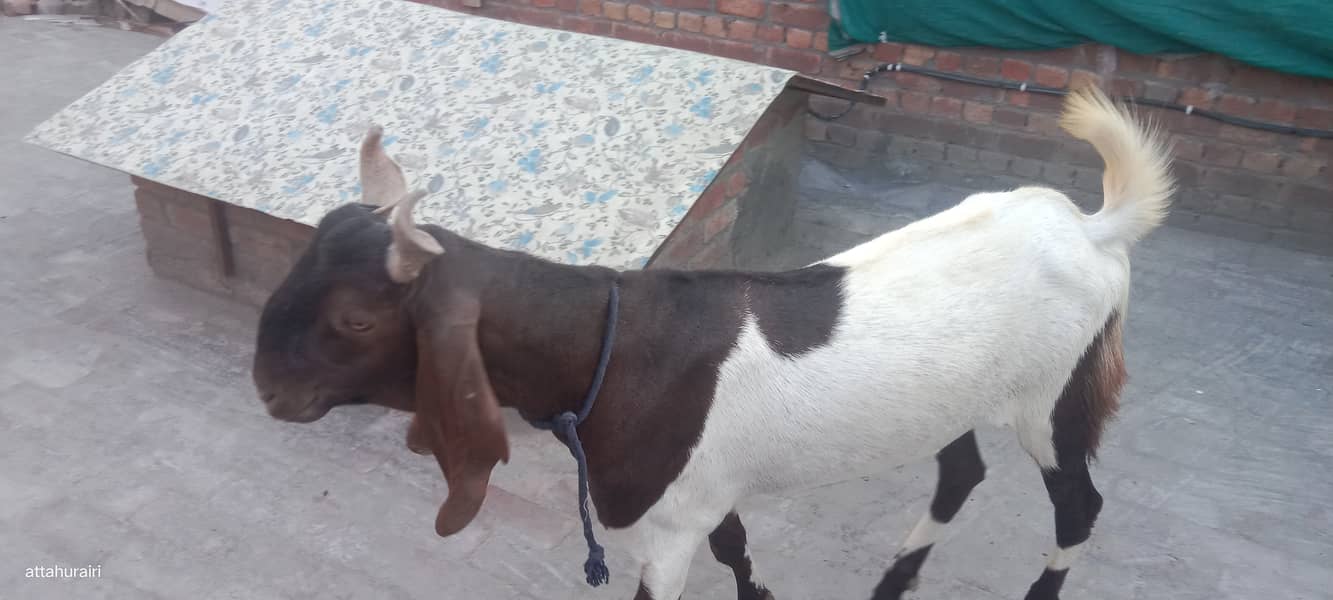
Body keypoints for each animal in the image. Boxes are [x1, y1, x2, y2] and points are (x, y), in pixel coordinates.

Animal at [252, 85, 1173, 600]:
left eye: (356, 319)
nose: (269, 388)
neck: (612, 348)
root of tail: (1087, 226)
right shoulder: (703, 492)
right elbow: (737, 550)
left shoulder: (666, 533)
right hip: (952, 397)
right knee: (961, 471)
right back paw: (891, 583)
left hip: (1051, 395)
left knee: (1077, 505)